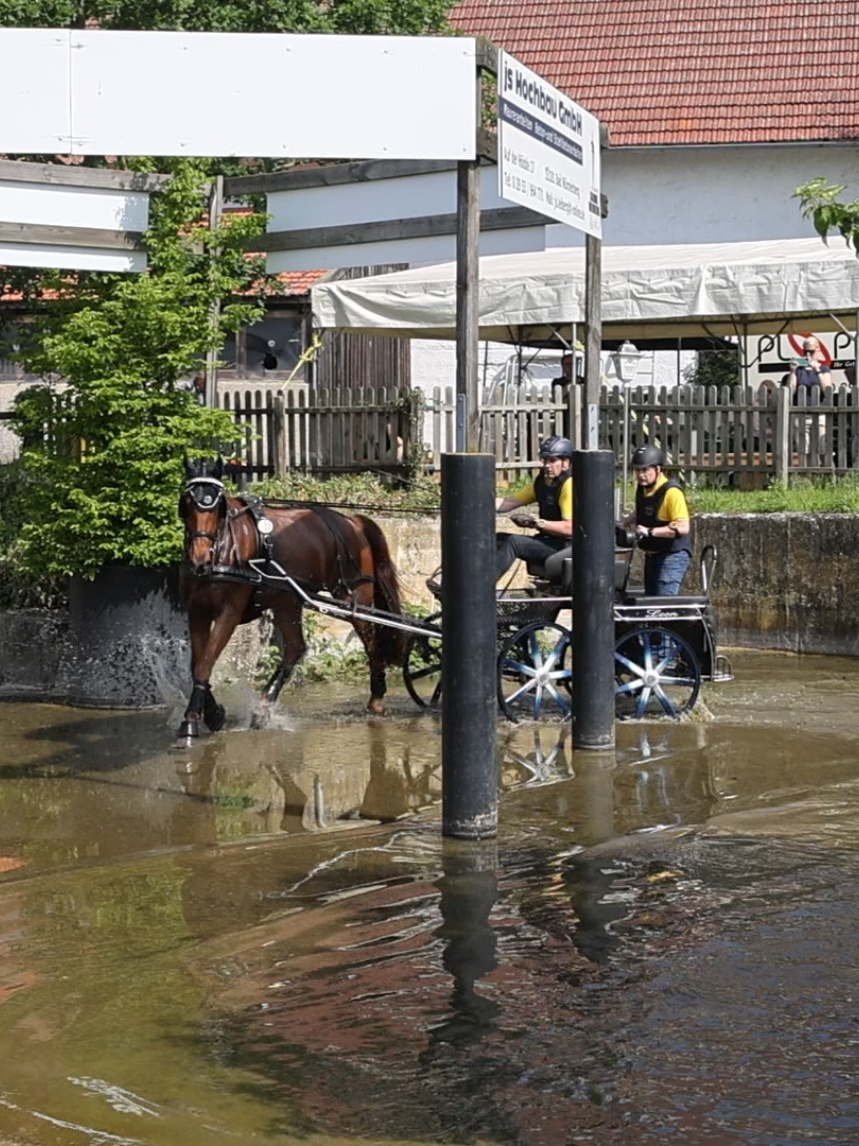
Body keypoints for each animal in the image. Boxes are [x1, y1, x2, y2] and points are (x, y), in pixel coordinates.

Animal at [176, 458, 405, 744]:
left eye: (216, 505)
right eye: (187, 502)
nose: (200, 561)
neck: (224, 548)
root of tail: (351, 521)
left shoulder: (228, 613)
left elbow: (205, 663)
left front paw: (191, 721)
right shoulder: (197, 612)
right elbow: (197, 664)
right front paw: (212, 714)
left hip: (355, 598)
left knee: (371, 644)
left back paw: (376, 699)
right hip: (287, 602)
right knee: (295, 648)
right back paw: (263, 708)